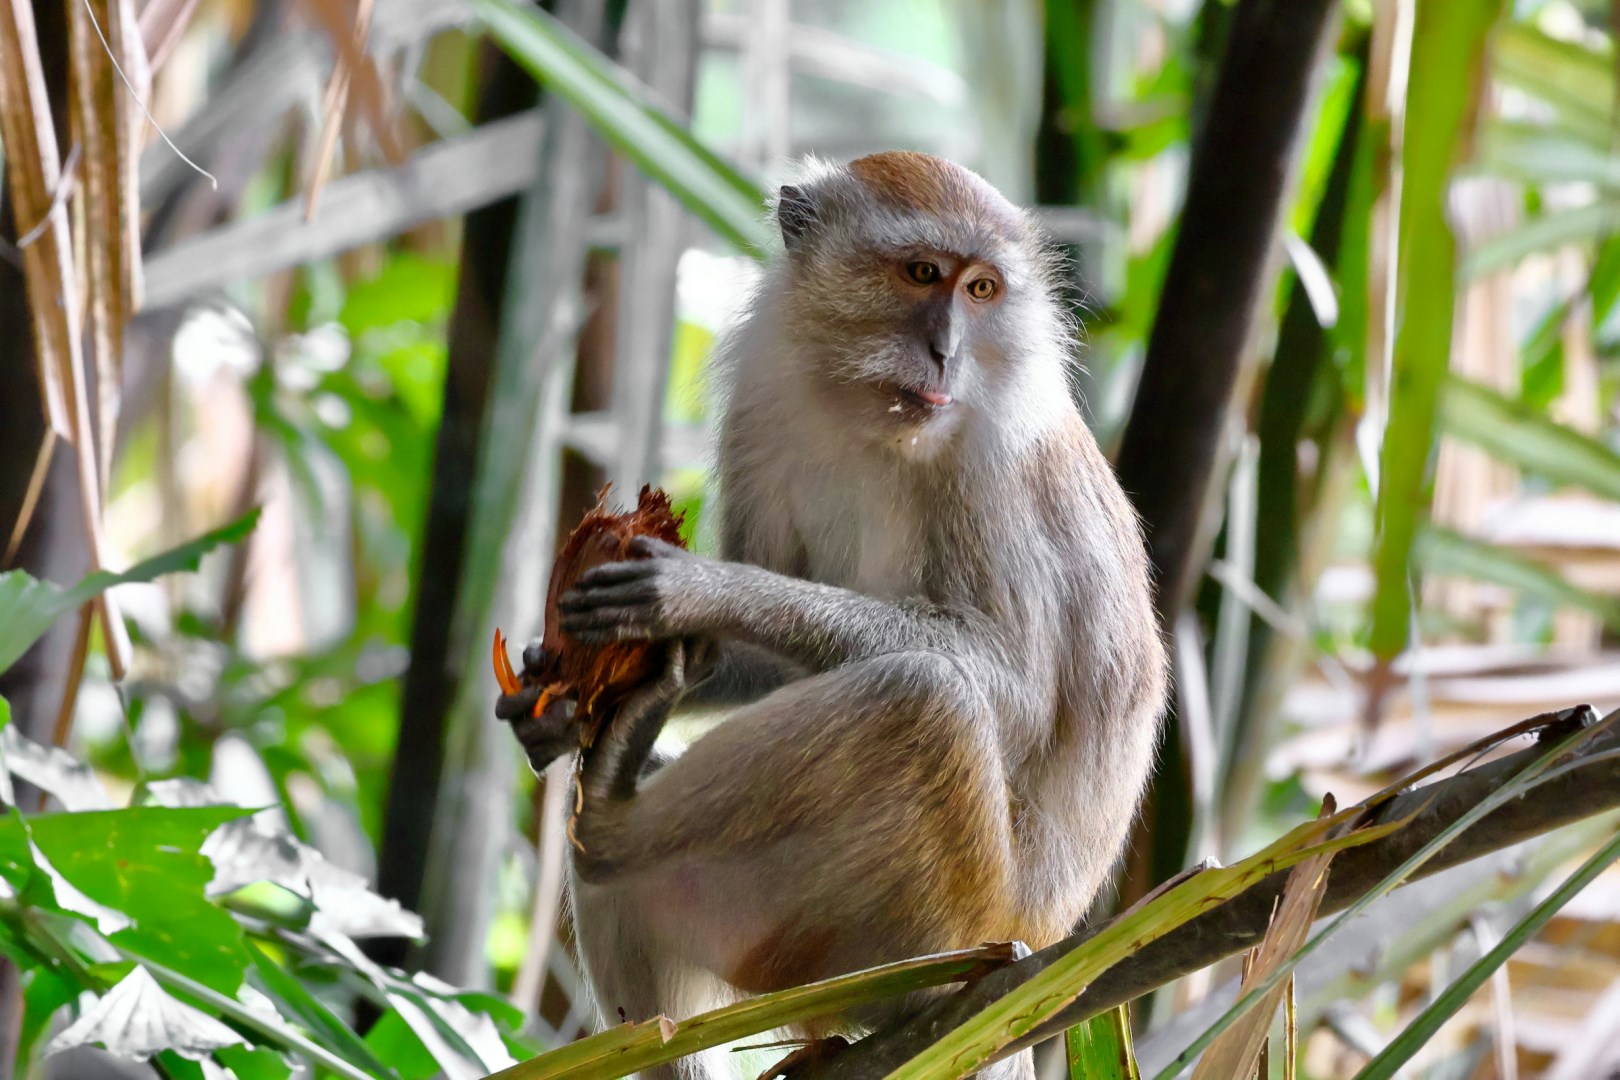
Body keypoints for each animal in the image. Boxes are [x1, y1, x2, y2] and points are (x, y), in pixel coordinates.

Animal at [496, 151, 1168, 1080]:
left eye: (982, 290)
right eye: (922, 274)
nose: (947, 352)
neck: (866, 414)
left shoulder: (993, 461)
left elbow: (1015, 688)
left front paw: (702, 589)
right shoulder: (764, 400)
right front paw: (552, 700)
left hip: (951, 931)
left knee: (921, 699)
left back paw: (608, 815)